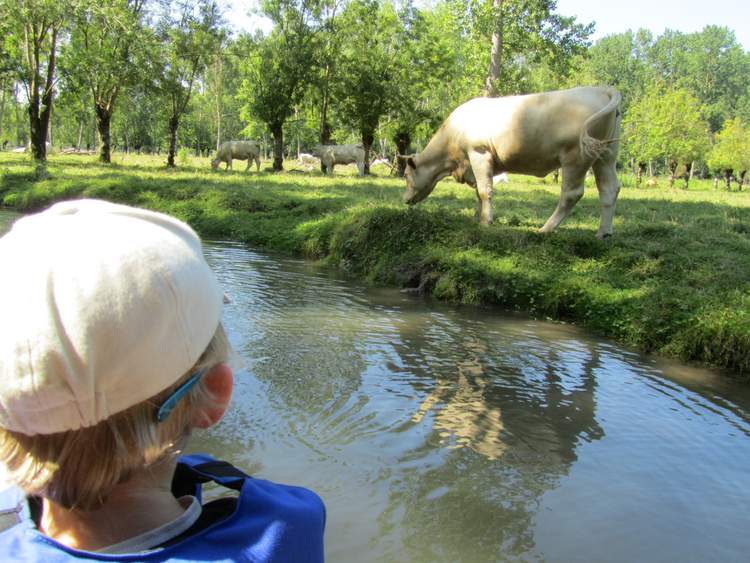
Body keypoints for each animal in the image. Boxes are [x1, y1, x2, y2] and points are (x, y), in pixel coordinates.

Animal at [402, 86, 624, 238]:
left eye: (405, 175)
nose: (404, 199)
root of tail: (600, 89)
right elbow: (479, 191)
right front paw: (477, 216)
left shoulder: (479, 153)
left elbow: (484, 190)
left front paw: (485, 222)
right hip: (606, 155)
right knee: (609, 189)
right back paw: (603, 233)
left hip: (575, 157)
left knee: (572, 193)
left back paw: (545, 228)